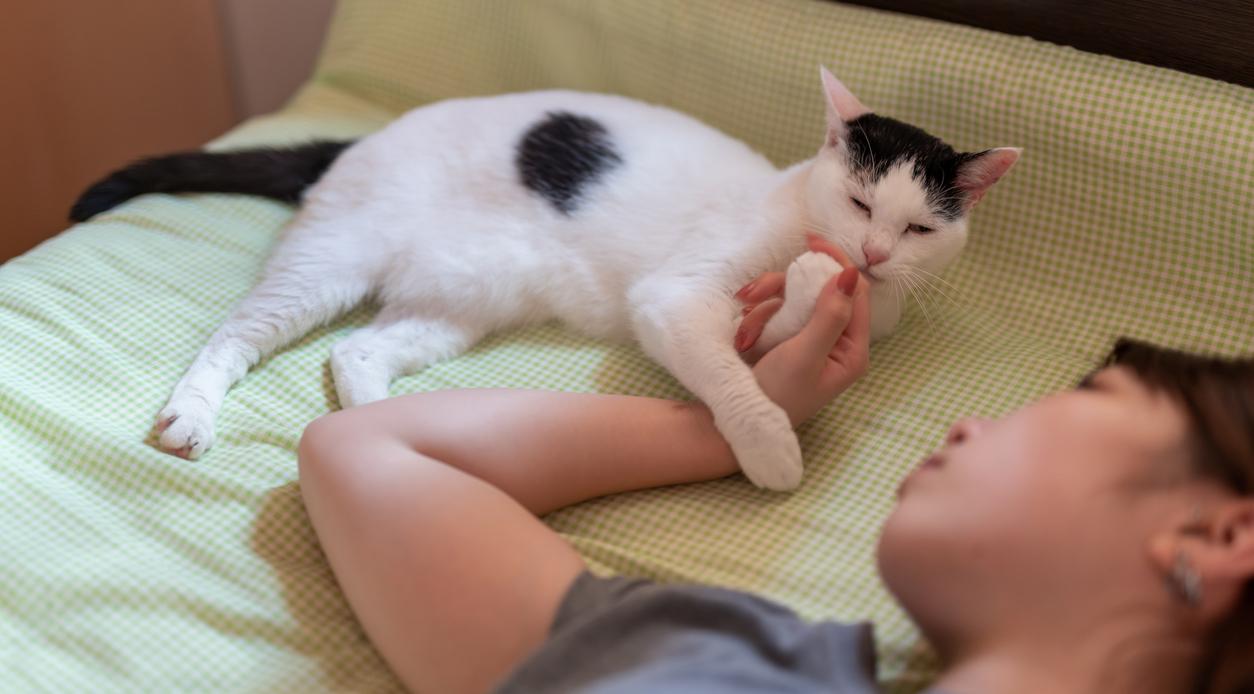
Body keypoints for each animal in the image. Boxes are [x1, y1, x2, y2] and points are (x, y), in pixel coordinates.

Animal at [75, 67, 1018, 489]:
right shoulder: (674, 299)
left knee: (357, 353)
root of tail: (363, 138)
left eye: (920, 228)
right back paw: (191, 415)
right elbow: (732, 379)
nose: (874, 257)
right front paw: (769, 444)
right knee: (234, 335)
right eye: (861, 202)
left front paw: (808, 290)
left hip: (464, 298)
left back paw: (379, 430)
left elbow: (769, 335)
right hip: (331, 262)